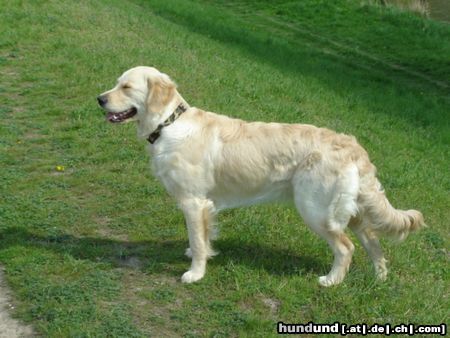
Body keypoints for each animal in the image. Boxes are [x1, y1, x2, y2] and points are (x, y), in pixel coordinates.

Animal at [96, 67, 424, 286]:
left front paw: (195, 273)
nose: (99, 99)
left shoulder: (193, 201)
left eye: (126, 87)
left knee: (347, 247)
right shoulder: (205, 204)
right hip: (350, 209)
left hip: (316, 210)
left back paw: (331, 281)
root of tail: (354, 146)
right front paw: (197, 254)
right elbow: (203, 236)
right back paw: (380, 277)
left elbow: (199, 240)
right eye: (116, 84)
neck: (168, 124)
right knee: (372, 241)